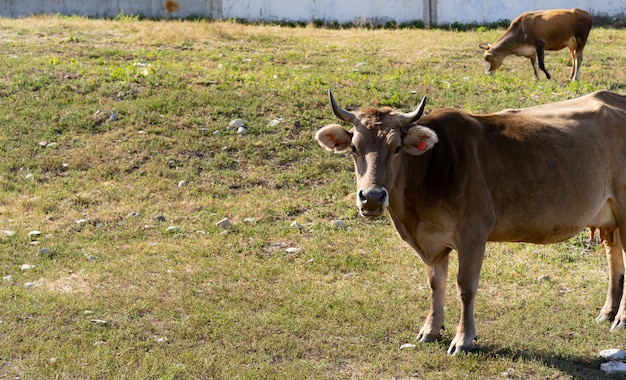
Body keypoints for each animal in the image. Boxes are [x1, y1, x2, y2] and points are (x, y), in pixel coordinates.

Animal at [316, 90, 626, 354]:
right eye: (354, 148)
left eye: (396, 148)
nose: (372, 196)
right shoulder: (433, 241)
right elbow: (435, 283)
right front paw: (430, 330)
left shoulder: (474, 232)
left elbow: (465, 287)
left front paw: (463, 339)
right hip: (610, 215)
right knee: (614, 256)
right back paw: (607, 311)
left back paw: (620, 318)